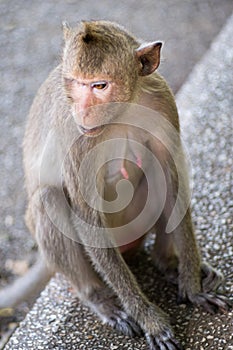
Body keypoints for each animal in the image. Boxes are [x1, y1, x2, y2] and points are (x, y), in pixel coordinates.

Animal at [0, 20, 230, 348]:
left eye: (99, 86)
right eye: (74, 83)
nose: (84, 111)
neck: (124, 109)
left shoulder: (162, 100)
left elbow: (171, 176)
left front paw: (192, 287)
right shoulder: (75, 135)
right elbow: (85, 214)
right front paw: (149, 319)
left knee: (159, 171)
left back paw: (167, 264)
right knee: (49, 198)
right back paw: (100, 299)